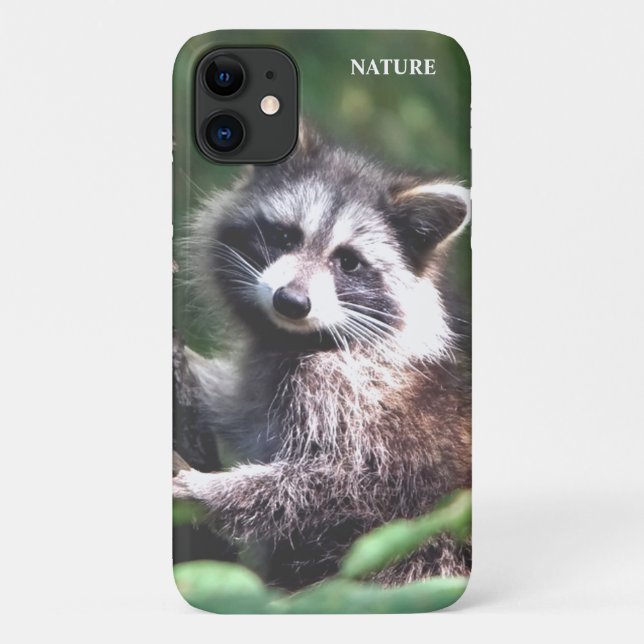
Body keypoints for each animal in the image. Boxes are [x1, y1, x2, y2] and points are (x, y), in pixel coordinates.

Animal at [173, 127, 471, 589]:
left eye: (348, 262)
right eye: (285, 237)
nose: (291, 302)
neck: (298, 339)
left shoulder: (359, 399)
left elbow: (341, 482)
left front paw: (211, 491)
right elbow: (244, 412)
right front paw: (196, 371)